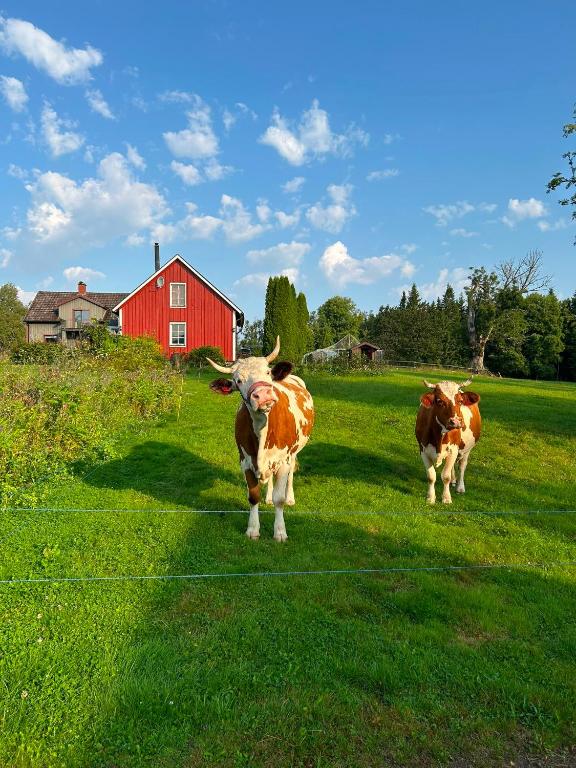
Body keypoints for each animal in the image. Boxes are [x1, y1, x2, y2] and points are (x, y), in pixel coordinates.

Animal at [207, 337, 314, 541]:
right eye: (238, 380)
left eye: (267, 372)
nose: (263, 395)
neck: (262, 428)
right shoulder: (246, 461)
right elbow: (253, 496)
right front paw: (253, 529)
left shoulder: (283, 460)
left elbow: (280, 499)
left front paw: (280, 531)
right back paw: (268, 497)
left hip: (294, 451)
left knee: (291, 474)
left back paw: (290, 497)